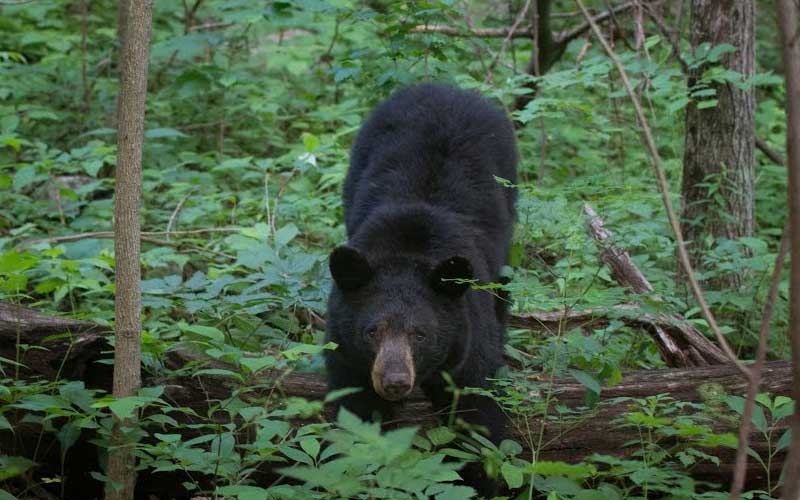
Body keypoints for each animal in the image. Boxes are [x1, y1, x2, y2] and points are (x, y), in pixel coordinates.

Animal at [324, 84, 520, 494]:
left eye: (421, 334)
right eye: (372, 331)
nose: (395, 381)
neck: (408, 247)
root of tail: (448, 87)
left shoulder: (468, 340)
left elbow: (479, 416)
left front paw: (485, 482)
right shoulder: (346, 353)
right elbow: (356, 414)